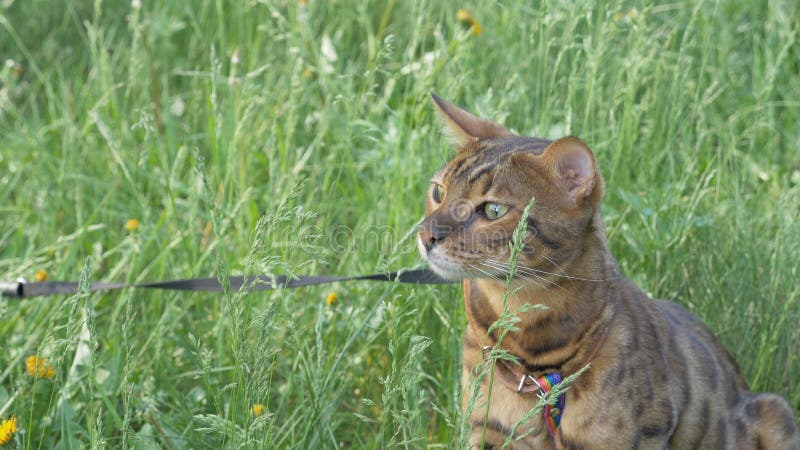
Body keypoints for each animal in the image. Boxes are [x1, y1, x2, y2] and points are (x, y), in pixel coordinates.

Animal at [416, 93, 796, 448]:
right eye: (438, 192)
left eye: (493, 210)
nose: (425, 235)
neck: (533, 357)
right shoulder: (487, 431)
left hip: (775, 411)